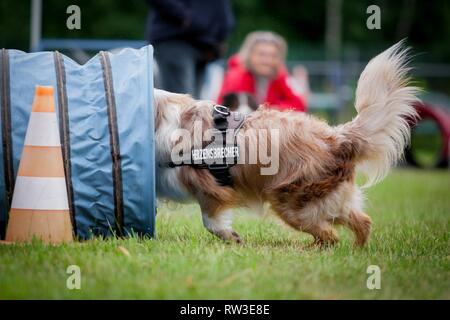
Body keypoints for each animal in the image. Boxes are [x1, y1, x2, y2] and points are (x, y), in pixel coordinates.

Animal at [154, 42, 418, 248]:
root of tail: (337, 138)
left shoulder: (207, 186)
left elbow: (210, 220)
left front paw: (232, 237)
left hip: (292, 202)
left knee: (330, 236)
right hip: (328, 202)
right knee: (362, 222)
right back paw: (356, 251)